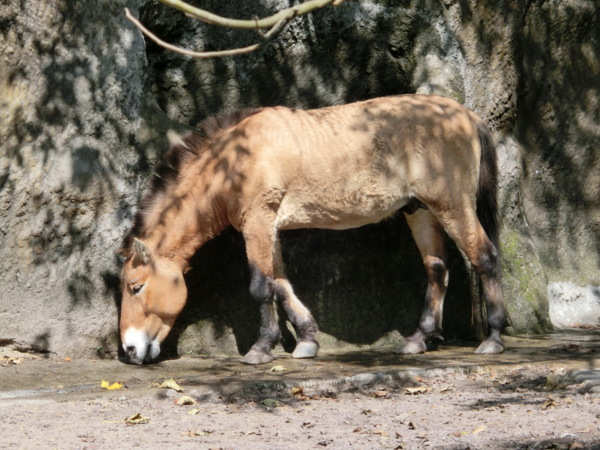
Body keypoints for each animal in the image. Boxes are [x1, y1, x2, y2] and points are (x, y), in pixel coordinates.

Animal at [118, 94, 509, 365]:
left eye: (136, 287)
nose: (130, 349)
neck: (233, 161)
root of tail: (468, 115)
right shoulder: (268, 229)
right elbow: (280, 284)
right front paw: (306, 340)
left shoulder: (257, 223)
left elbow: (260, 287)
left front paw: (261, 348)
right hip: (421, 211)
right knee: (437, 269)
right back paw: (419, 339)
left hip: (452, 206)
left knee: (485, 258)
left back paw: (493, 338)